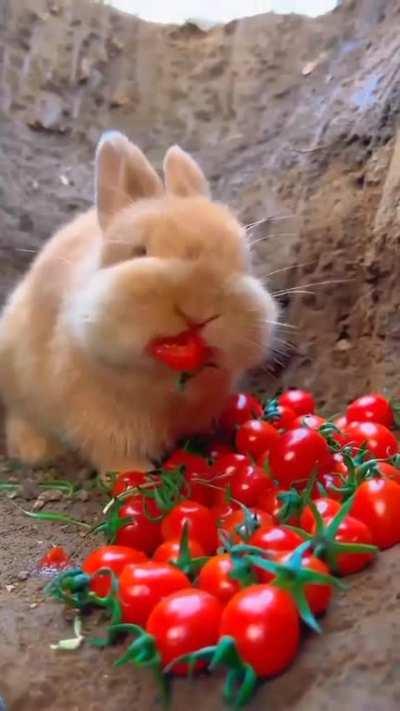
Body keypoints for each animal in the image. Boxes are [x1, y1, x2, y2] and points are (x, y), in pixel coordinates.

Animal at [0, 131, 278, 475]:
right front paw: (136, 477)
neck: (162, 385)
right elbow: (115, 454)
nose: (199, 313)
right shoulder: (99, 418)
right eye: (140, 251)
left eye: (242, 260)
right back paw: (35, 451)